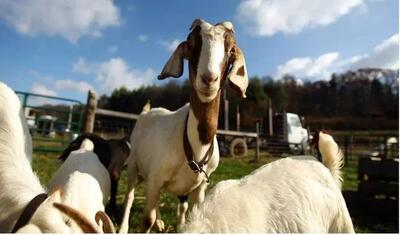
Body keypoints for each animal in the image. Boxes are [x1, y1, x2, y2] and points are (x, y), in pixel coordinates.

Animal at [119, 18, 248, 233]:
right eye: (192, 44)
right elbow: (147, 220)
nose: (209, 79)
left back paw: (161, 222)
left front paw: (178, 225)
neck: (195, 143)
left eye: (230, 50)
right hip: (133, 165)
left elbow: (186, 209)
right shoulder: (156, 177)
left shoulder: (199, 187)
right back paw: (123, 227)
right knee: (129, 196)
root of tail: (147, 112)